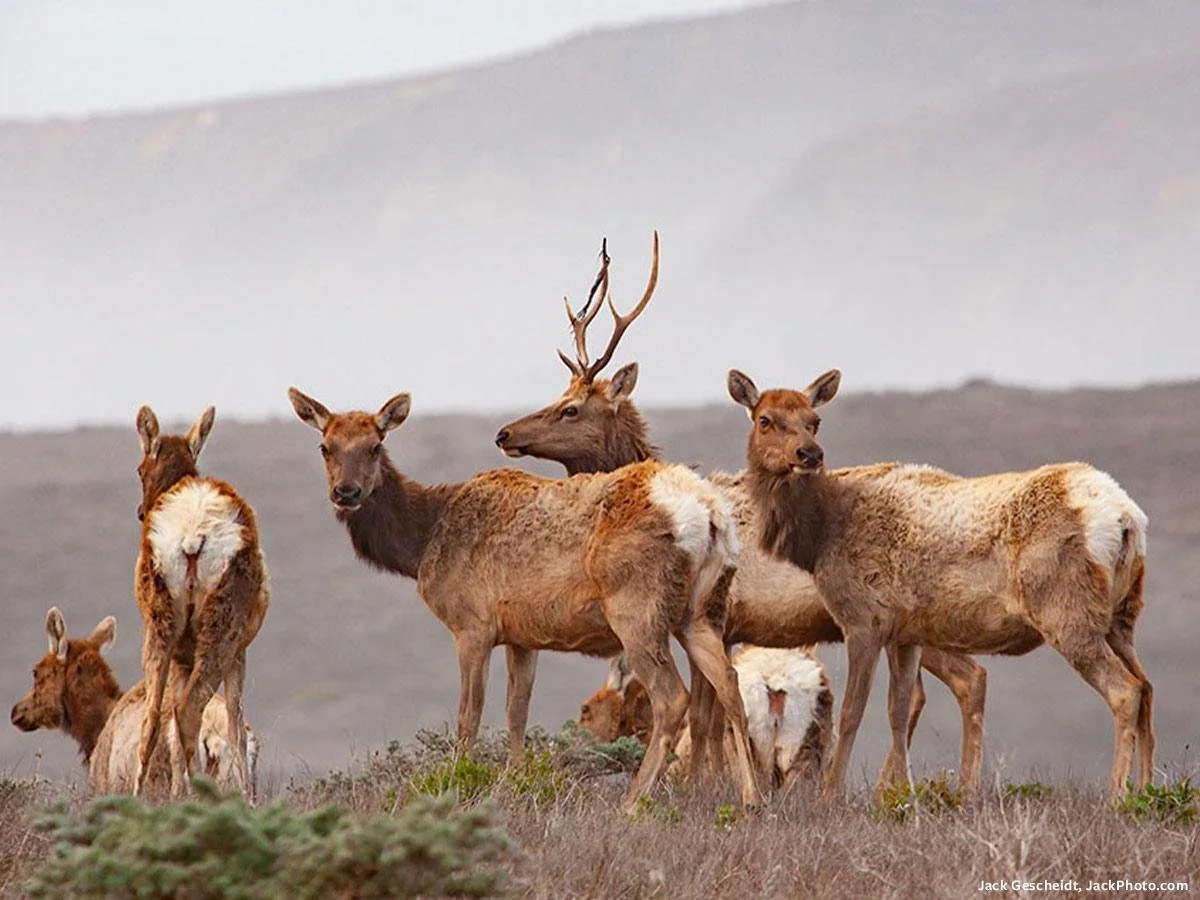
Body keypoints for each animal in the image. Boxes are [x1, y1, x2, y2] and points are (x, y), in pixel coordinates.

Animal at [133, 406, 269, 798]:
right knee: (187, 711)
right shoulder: (239, 652)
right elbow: (237, 728)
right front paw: (249, 799)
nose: (140, 511)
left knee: (153, 720)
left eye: (140, 469)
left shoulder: (182, 656)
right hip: (218, 637)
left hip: (160, 630)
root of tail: (192, 534)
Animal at [286, 373, 764, 811]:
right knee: (730, 684)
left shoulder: (472, 624)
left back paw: (634, 800)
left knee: (672, 697)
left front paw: (459, 783)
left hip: (637, 610)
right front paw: (515, 782)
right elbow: (517, 713)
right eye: (325, 447)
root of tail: (710, 514)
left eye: (375, 444)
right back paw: (751, 799)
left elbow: (469, 715)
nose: (346, 492)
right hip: (702, 613)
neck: (422, 543)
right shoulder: (522, 634)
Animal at [493, 238, 990, 791]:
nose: (505, 433)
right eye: (560, 396)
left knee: (962, 680)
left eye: (571, 409)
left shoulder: (721, 617)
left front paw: (702, 788)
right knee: (960, 680)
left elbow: (705, 715)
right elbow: (713, 714)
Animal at [728, 367, 1154, 799]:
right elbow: (897, 711)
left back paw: (1117, 796)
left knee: (1125, 690)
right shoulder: (905, 633)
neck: (818, 537)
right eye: (765, 420)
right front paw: (902, 794)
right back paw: (1145, 790)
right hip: (1122, 617)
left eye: (814, 420)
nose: (810, 455)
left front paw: (833, 795)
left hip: (1068, 613)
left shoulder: (863, 620)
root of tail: (1125, 519)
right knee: (1147, 687)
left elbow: (853, 713)